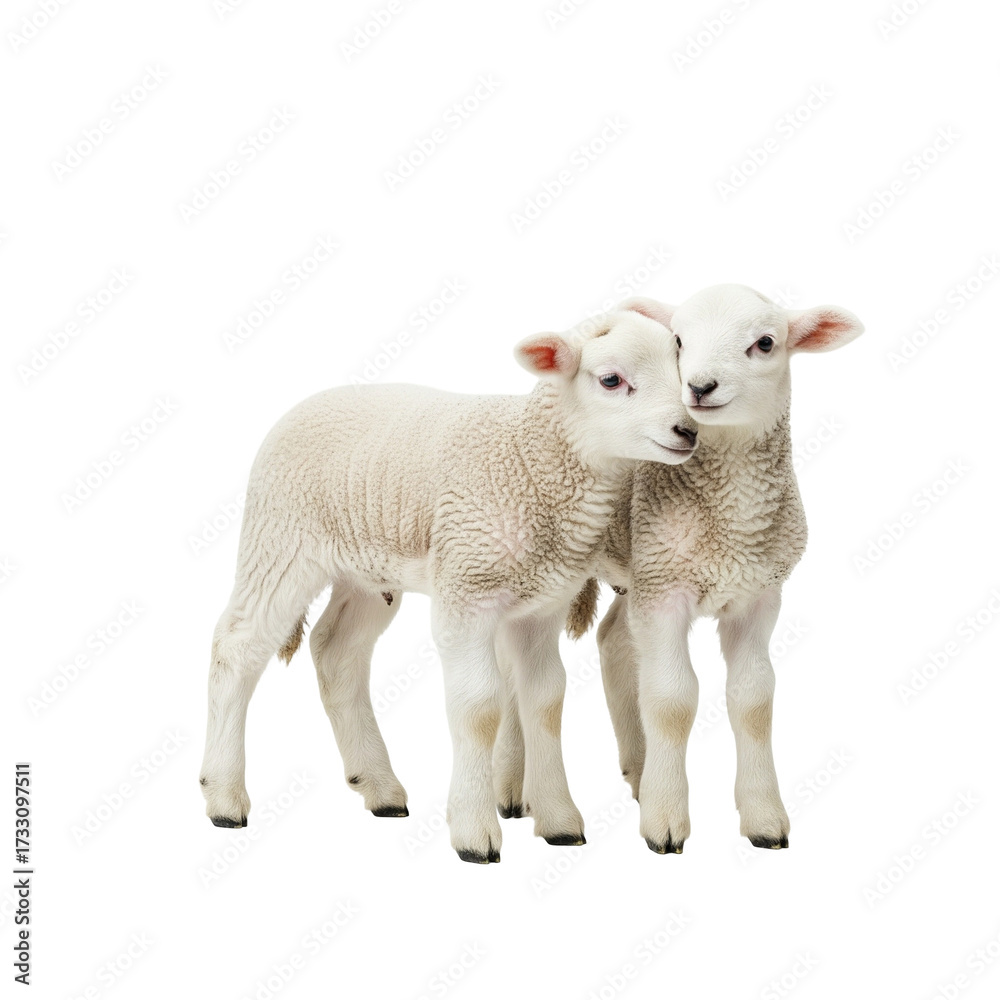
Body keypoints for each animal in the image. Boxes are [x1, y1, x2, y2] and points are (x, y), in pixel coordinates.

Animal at [198, 308, 699, 864]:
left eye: (681, 364)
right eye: (611, 380)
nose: (687, 429)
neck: (531, 458)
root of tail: (301, 405)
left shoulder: (541, 604)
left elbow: (546, 701)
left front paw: (559, 820)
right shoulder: (467, 589)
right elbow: (478, 707)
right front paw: (474, 832)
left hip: (367, 572)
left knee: (335, 651)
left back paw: (379, 787)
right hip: (281, 541)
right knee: (237, 647)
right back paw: (224, 797)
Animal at [498, 284, 863, 854]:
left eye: (765, 342)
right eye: (678, 340)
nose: (699, 386)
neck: (733, 522)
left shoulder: (758, 595)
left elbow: (753, 699)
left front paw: (763, 817)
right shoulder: (666, 591)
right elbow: (673, 699)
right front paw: (666, 822)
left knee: (613, 641)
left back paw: (637, 769)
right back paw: (516, 789)